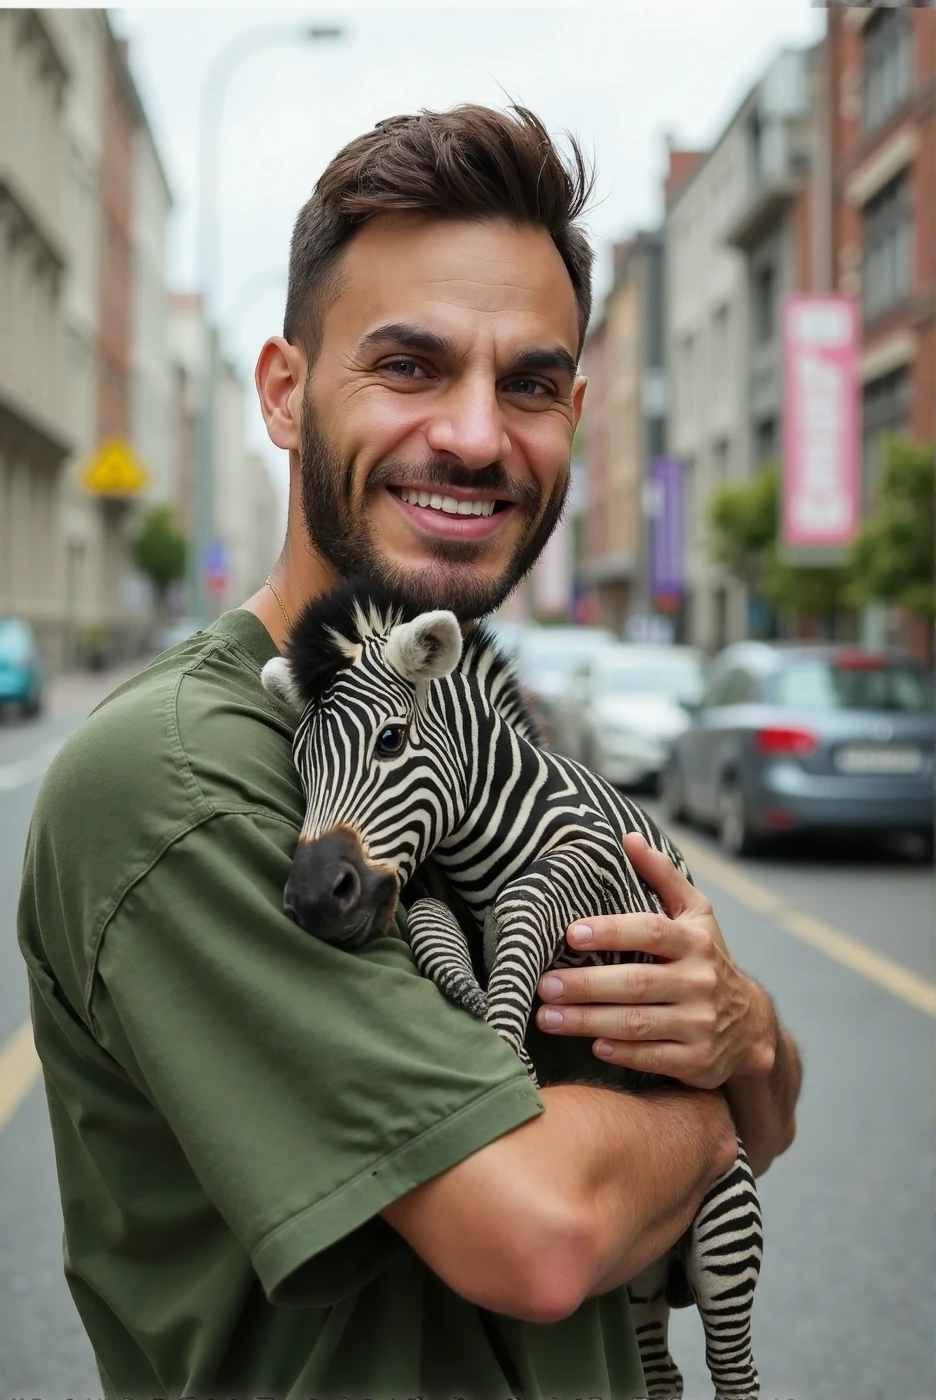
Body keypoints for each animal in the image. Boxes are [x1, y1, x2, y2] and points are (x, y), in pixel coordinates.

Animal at [261, 579, 761, 1400]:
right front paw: (477, 1002)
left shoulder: (613, 880)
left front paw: (502, 1033)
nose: (312, 898)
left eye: (391, 742)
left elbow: (528, 900)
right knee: (662, 1371)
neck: (480, 840)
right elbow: (430, 921)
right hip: (640, 1275)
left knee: (734, 1367)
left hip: (724, 1231)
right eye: (299, 766)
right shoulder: (435, 893)